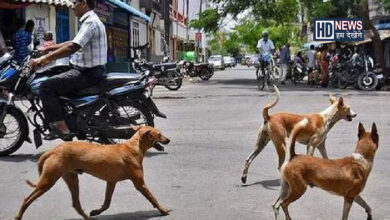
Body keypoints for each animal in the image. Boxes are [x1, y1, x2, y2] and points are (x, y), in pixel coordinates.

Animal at [15, 125, 171, 220]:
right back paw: (18, 216)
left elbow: (107, 203)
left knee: (76, 204)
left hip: (72, 179)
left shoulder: (111, 182)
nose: (168, 140)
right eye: (159, 134)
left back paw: (87, 217)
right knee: (26, 200)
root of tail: (53, 150)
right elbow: (153, 198)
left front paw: (97, 211)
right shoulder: (139, 184)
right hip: (48, 181)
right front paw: (163, 210)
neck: (133, 147)